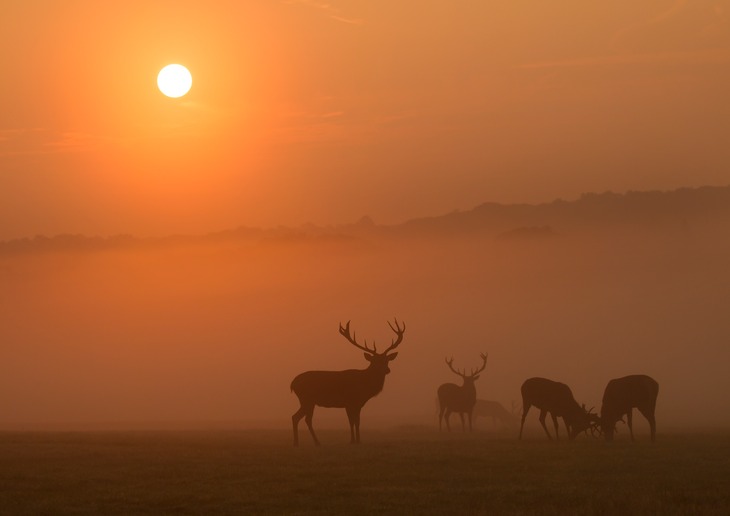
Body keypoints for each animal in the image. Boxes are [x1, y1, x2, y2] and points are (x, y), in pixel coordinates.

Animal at [288, 316, 404, 446]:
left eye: (386, 360)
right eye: (375, 361)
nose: (387, 370)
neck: (364, 385)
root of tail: (292, 383)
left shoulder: (358, 404)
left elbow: (357, 422)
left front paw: (358, 440)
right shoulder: (349, 401)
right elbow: (351, 422)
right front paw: (352, 441)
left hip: (307, 401)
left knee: (297, 417)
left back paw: (299, 442)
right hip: (306, 399)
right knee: (304, 418)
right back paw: (314, 442)